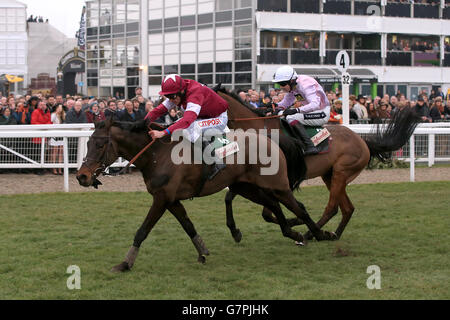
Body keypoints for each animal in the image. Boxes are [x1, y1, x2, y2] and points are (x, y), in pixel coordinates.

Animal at [75, 117, 334, 272]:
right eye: (88, 143)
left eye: (100, 144)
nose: (82, 176)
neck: (158, 154)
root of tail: (271, 139)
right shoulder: (171, 200)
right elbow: (188, 226)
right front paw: (202, 252)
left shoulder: (161, 199)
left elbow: (142, 231)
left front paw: (125, 263)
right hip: (247, 187)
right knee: (276, 206)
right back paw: (294, 233)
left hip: (277, 185)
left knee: (298, 206)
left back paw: (319, 234)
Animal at [216, 86, 420, 241]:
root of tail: (363, 141)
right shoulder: (251, 177)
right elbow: (230, 198)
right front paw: (235, 231)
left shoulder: (281, 180)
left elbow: (269, 211)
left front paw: (295, 222)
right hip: (330, 175)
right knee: (347, 208)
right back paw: (332, 234)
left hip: (341, 172)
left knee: (332, 208)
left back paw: (313, 233)